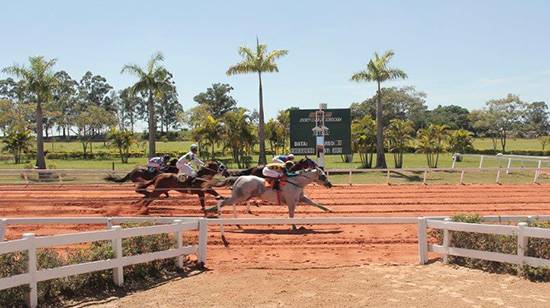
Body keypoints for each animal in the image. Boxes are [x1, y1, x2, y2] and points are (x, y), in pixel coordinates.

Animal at [206, 168, 334, 224]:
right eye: (323, 175)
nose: (330, 184)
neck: (296, 182)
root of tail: (240, 177)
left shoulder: (301, 197)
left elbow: (314, 203)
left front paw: (328, 209)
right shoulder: (291, 201)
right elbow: (291, 215)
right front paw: (294, 227)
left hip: (242, 196)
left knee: (224, 200)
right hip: (240, 196)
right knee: (223, 201)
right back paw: (210, 210)